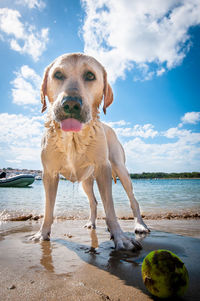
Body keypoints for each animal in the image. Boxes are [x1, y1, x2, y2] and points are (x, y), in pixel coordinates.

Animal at [30, 52, 150, 250]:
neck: (73, 137)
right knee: (93, 202)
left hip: (121, 169)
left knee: (134, 200)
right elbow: (48, 208)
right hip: (86, 181)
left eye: (90, 76)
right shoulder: (49, 173)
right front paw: (42, 233)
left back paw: (140, 224)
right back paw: (91, 223)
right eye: (58, 74)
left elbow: (110, 208)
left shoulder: (103, 168)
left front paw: (120, 236)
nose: (71, 104)